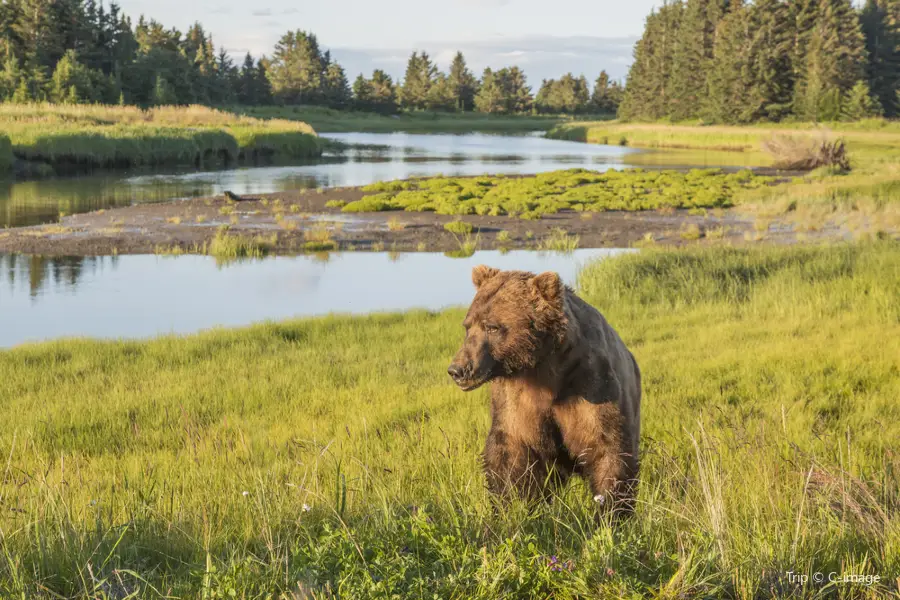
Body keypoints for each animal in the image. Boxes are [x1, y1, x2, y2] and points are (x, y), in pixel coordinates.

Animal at [448, 264, 640, 512]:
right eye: (467, 326)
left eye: (492, 327)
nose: (457, 369)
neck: (545, 365)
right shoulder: (517, 399)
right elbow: (509, 452)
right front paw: (509, 506)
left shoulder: (592, 384)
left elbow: (606, 446)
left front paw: (610, 509)